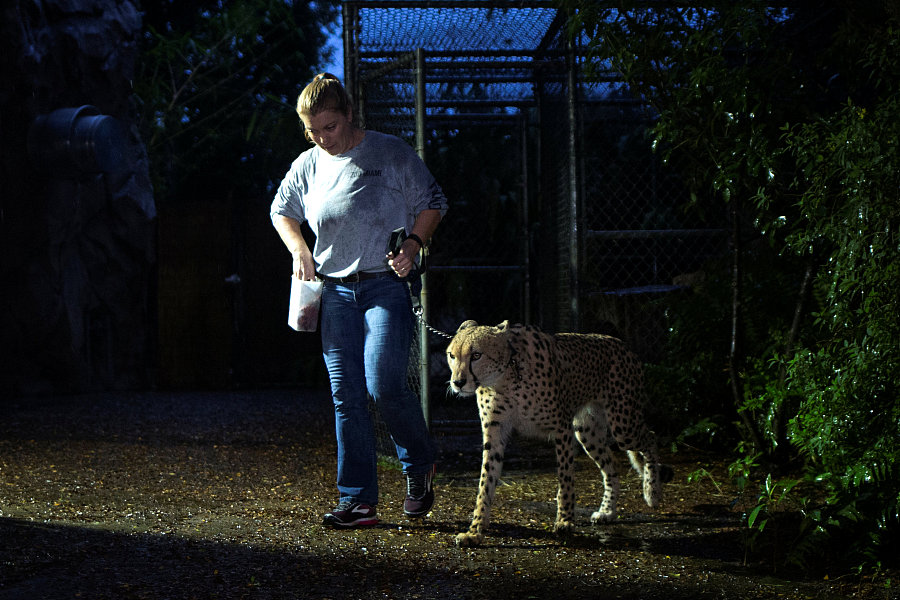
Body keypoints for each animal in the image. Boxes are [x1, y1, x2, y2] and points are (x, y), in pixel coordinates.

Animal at [446, 322, 672, 548]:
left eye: (476, 355)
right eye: (452, 355)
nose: (458, 382)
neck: (505, 378)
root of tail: (621, 344)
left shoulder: (562, 429)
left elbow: (565, 478)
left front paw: (565, 520)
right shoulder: (494, 432)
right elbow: (485, 482)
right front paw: (475, 530)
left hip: (623, 426)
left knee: (651, 437)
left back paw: (652, 492)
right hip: (587, 431)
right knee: (611, 466)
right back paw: (607, 511)